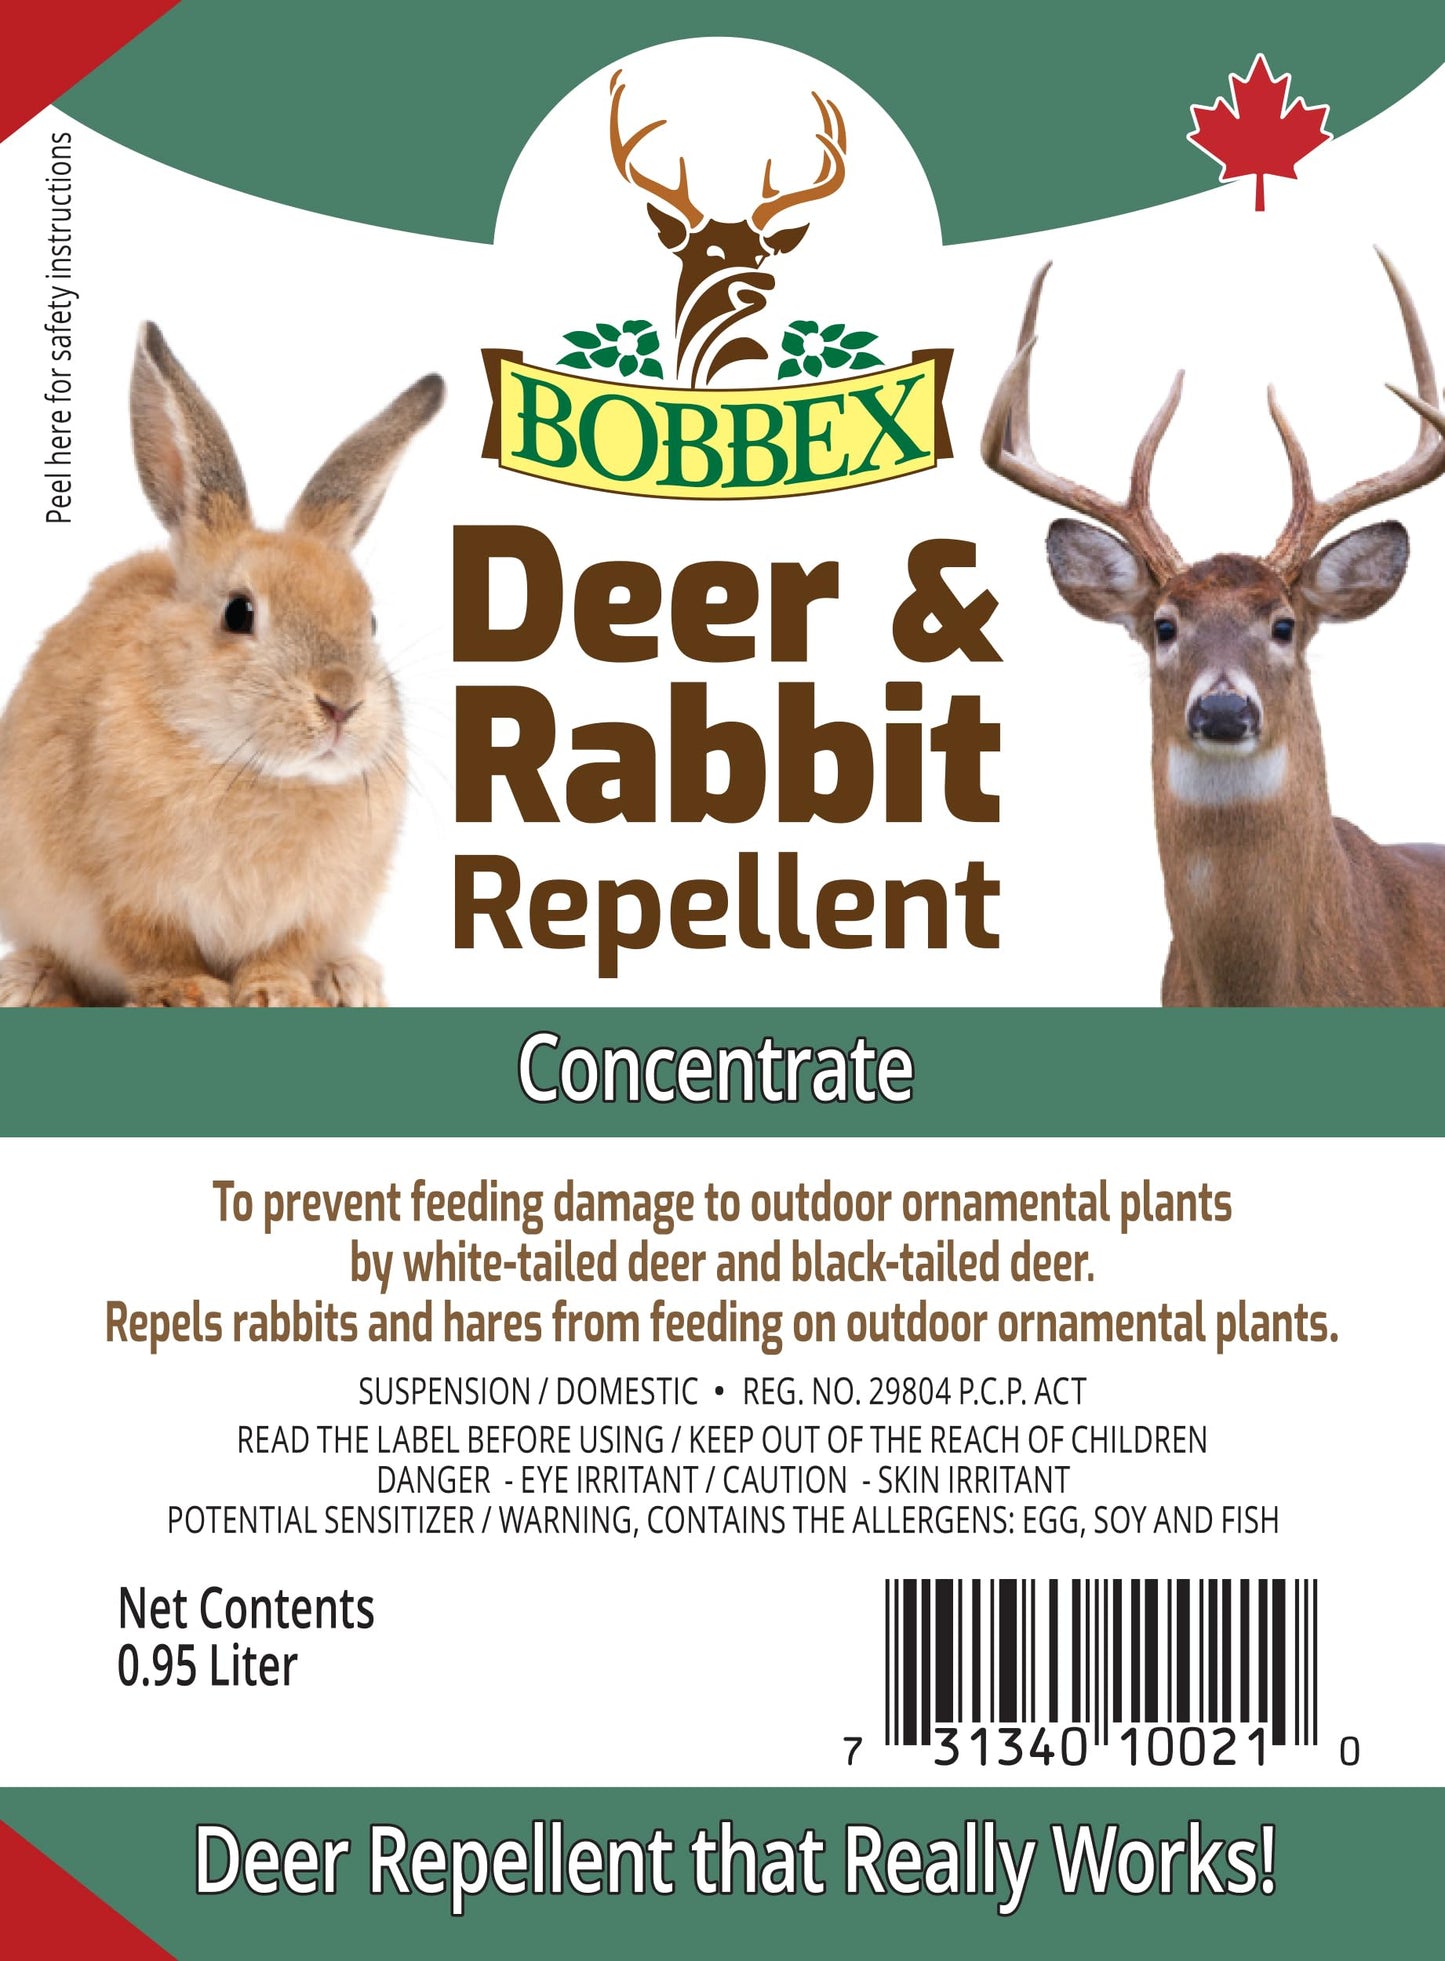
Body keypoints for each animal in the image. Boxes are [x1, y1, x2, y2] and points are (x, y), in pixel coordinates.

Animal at [0, 325, 444, 1007]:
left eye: (369, 622)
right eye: (239, 613)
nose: (341, 702)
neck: (256, 772)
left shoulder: (313, 911)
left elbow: (284, 953)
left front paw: (280, 994)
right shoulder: (124, 899)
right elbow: (151, 949)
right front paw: (184, 994)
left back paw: (351, 980)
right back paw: (28, 982)